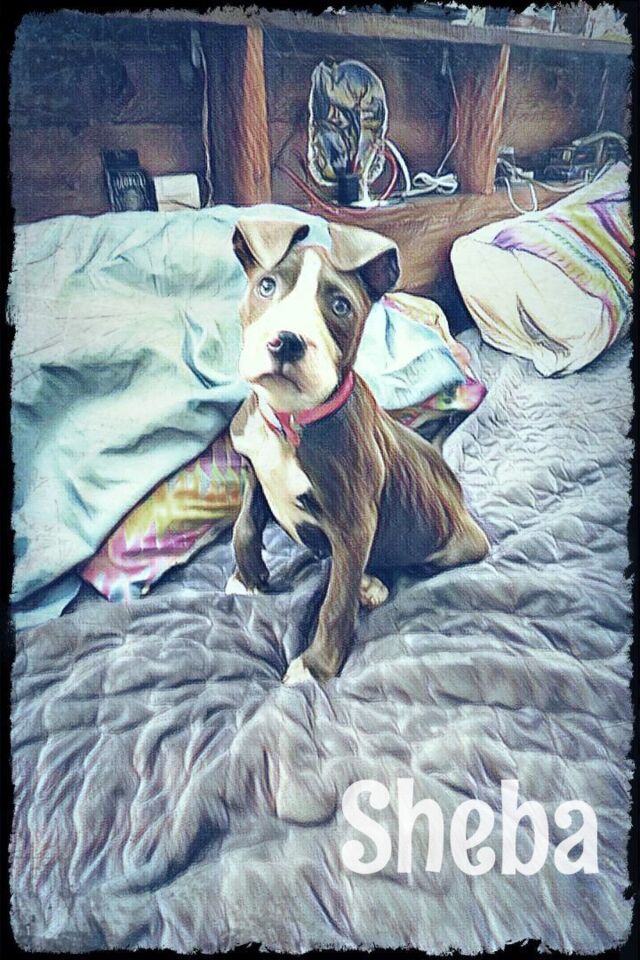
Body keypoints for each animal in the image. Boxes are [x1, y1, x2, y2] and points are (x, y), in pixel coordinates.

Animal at [225, 218, 489, 685]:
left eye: (340, 306)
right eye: (267, 285)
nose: (286, 341)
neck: (290, 419)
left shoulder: (354, 523)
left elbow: (335, 602)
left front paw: (316, 666)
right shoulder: (253, 468)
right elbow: (245, 525)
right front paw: (249, 577)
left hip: (454, 543)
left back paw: (372, 583)